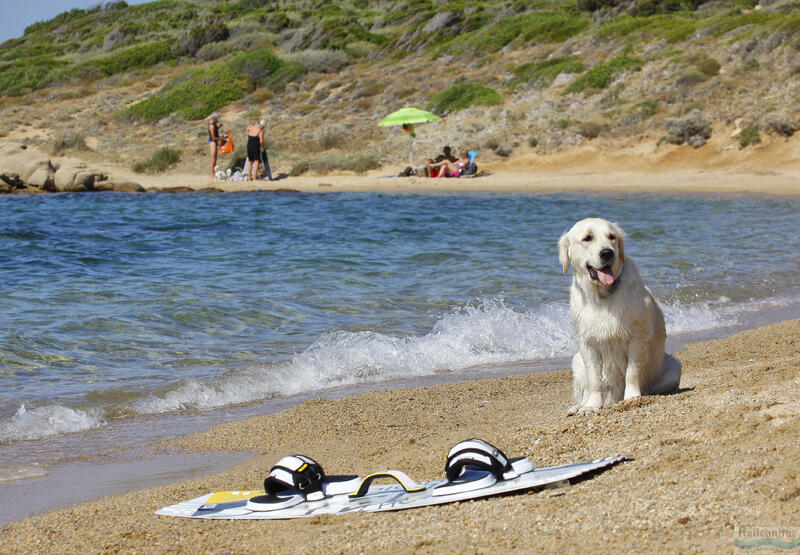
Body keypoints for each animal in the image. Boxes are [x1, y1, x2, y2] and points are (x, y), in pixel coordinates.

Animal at [556, 219, 680, 414]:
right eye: (587, 238)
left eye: (611, 237)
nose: (607, 253)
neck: (602, 296)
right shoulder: (587, 343)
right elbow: (594, 379)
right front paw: (591, 406)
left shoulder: (637, 338)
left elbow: (632, 372)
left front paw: (631, 398)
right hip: (576, 361)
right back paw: (579, 406)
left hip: (675, 367)